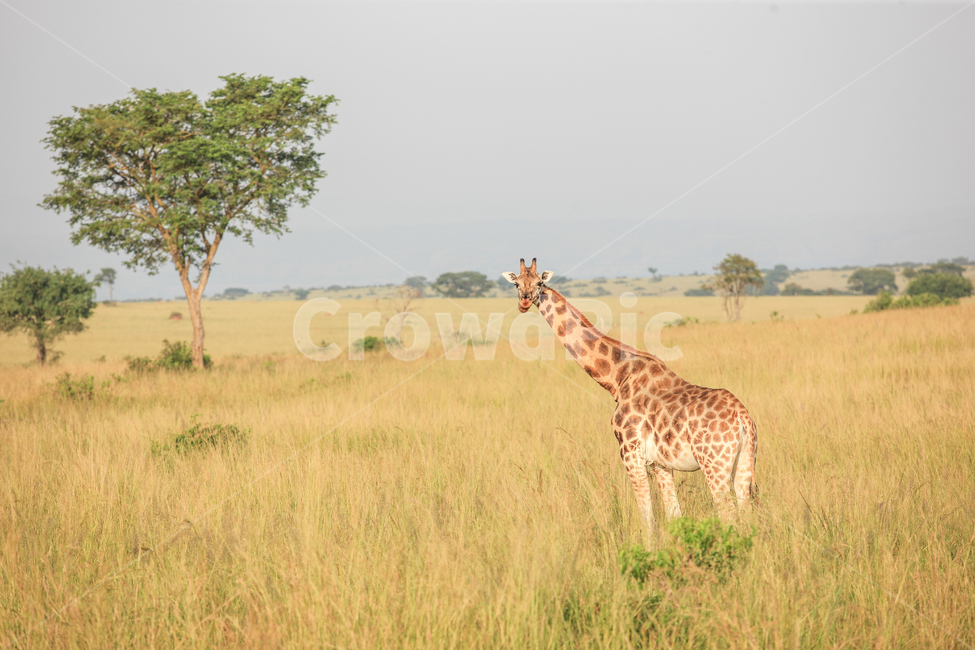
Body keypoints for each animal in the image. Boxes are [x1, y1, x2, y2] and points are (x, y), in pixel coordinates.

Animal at [502, 258, 758, 532]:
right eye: (517, 283)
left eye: (539, 283)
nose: (524, 302)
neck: (618, 378)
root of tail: (742, 418)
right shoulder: (660, 463)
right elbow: (673, 515)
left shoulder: (630, 454)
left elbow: (647, 517)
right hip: (745, 463)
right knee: (746, 513)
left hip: (714, 464)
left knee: (728, 513)